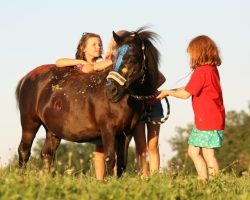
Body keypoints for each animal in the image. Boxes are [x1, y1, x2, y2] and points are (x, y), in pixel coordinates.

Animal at [15, 27, 160, 177]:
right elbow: (110, 159)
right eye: (113, 58)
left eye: (132, 59)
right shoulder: (108, 130)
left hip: (51, 130)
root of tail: (25, 78)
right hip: (29, 124)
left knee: (47, 154)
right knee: (24, 151)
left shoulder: (126, 133)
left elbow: (121, 163)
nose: (111, 91)